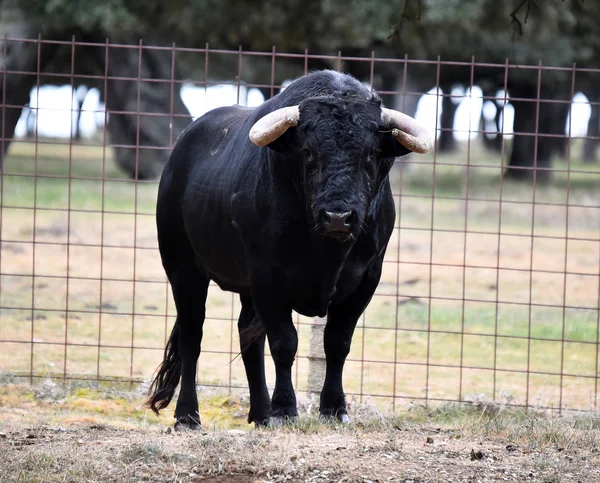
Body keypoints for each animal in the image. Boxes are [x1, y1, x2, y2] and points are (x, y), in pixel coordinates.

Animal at [148, 71, 434, 428]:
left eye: (370, 153)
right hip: (183, 268)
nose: (337, 217)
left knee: (248, 338)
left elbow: (337, 342)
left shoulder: (366, 279)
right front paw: (285, 409)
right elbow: (284, 343)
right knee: (192, 337)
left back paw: (259, 413)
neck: (325, 253)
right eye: (308, 152)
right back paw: (188, 414)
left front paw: (334, 408)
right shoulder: (266, 278)